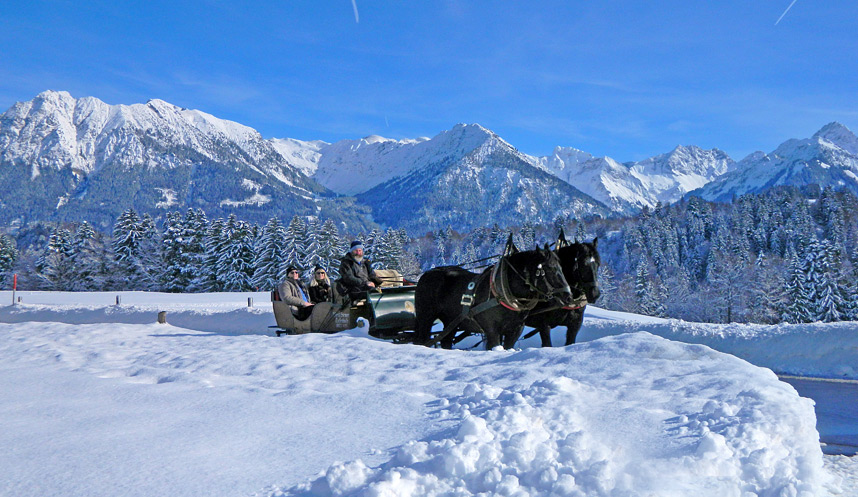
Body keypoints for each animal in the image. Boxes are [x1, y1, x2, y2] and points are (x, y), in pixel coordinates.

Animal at [412, 244, 572, 348]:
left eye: (561, 268)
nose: (568, 296)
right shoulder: (492, 331)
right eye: (548, 269)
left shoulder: (515, 330)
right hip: (426, 317)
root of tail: (426, 275)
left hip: (451, 322)